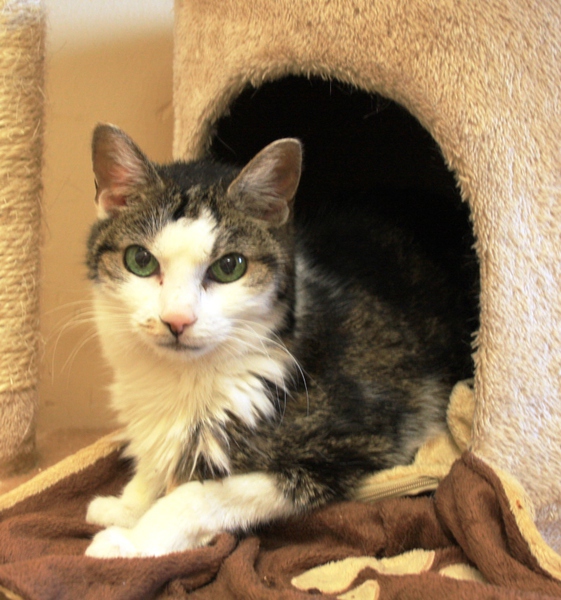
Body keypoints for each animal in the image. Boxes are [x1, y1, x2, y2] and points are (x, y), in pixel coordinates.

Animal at [84, 124, 472, 558]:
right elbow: (156, 458)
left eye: (230, 266)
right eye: (140, 260)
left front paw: (134, 539)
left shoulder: (346, 446)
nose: (177, 320)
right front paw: (127, 505)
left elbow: (201, 494)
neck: (185, 376)